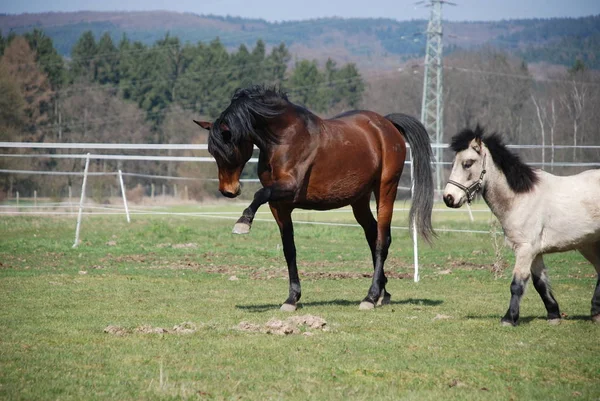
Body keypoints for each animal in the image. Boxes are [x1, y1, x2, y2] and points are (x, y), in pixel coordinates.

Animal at [195, 86, 434, 310]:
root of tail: (386, 124)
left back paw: (371, 296)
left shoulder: (289, 188)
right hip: (359, 200)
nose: (228, 191)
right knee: (372, 235)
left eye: (229, 149)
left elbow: (259, 194)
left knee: (382, 241)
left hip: (385, 190)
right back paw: (383, 293)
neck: (284, 138)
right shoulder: (279, 205)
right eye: (212, 152)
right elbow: (289, 249)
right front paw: (292, 299)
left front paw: (243, 222)